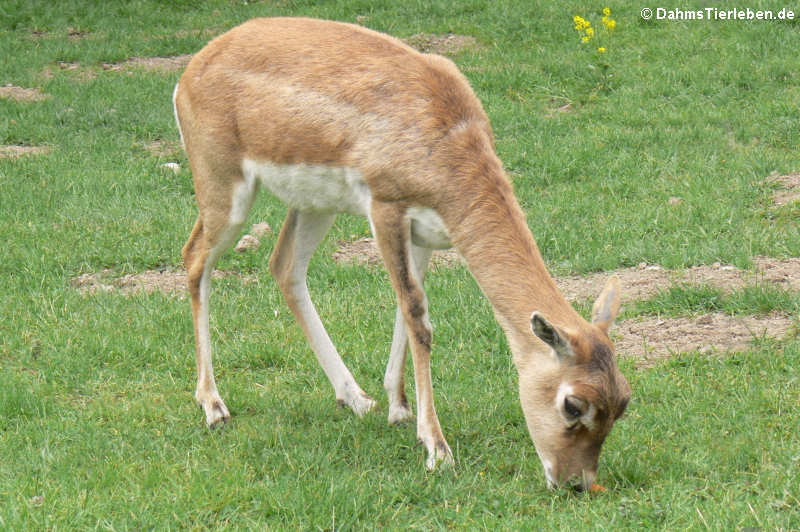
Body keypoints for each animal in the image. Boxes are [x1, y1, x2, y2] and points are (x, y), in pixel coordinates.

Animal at [175, 17, 632, 490]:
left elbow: (405, 310)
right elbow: (417, 315)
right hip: (226, 194)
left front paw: (398, 408)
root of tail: (197, 64)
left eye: (623, 403)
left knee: (284, 266)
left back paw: (357, 399)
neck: (445, 132)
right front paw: (437, 448)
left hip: (314, 205)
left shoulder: (424, 234)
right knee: (194, 259)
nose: (578, 482)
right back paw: (214, 407)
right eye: (573, 404)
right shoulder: (386, 209)